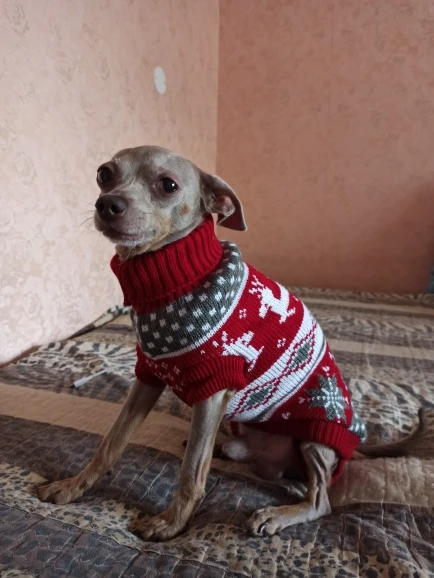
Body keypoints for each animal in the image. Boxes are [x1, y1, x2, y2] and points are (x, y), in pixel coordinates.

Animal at [36, 146, 427, 541]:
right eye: (104, 174)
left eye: (168, 185)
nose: (107, 204)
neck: (173, 283)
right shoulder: (148, 376)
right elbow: (111, 443)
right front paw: (73, 487)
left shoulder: (214, 387)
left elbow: (192, 470)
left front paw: (171, 523)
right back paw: (231, 455)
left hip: (315, 438)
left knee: (320, 500)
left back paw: (279, 513)